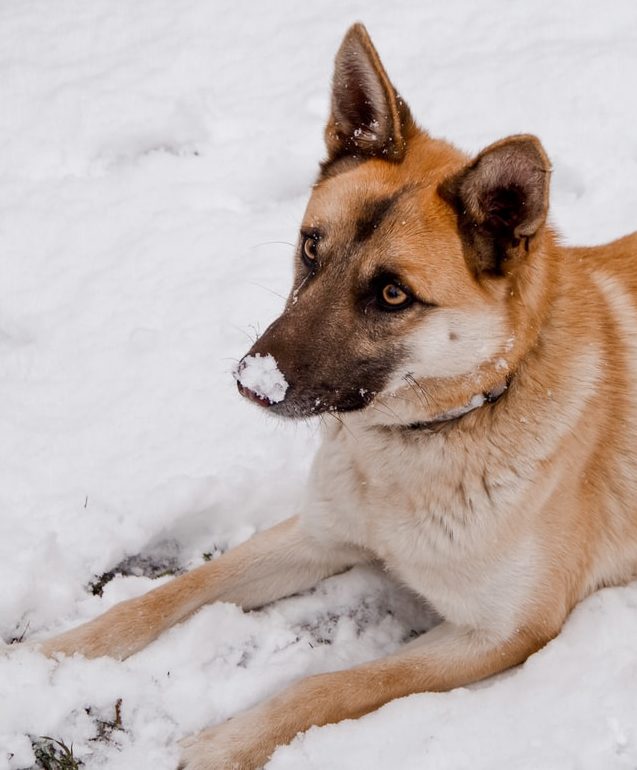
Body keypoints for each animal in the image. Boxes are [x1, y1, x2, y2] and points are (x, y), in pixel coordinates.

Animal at [36, 21, 636, 764]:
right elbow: (170, 593)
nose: (252, 380)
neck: (425, 438)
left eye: (392, 294)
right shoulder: (317, 534)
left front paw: (223, 744)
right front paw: (52, 655)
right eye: (310, 249)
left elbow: (329, 687)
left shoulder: (503, 634)